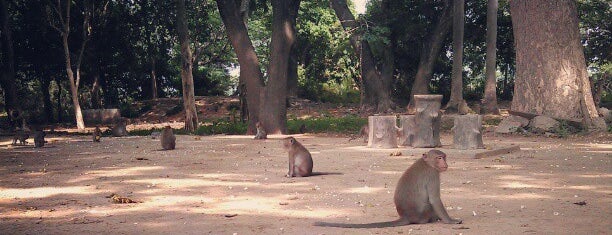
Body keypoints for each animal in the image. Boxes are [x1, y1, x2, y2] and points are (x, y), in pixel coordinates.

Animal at [316, 150, 460, 229]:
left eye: (444, 157)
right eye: (439, 158)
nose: (445, 163)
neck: (427, 163)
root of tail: (406, 216)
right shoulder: (433, 175)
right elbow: (435, 200)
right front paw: (450, 221)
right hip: (423, 214)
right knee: (430, 206)